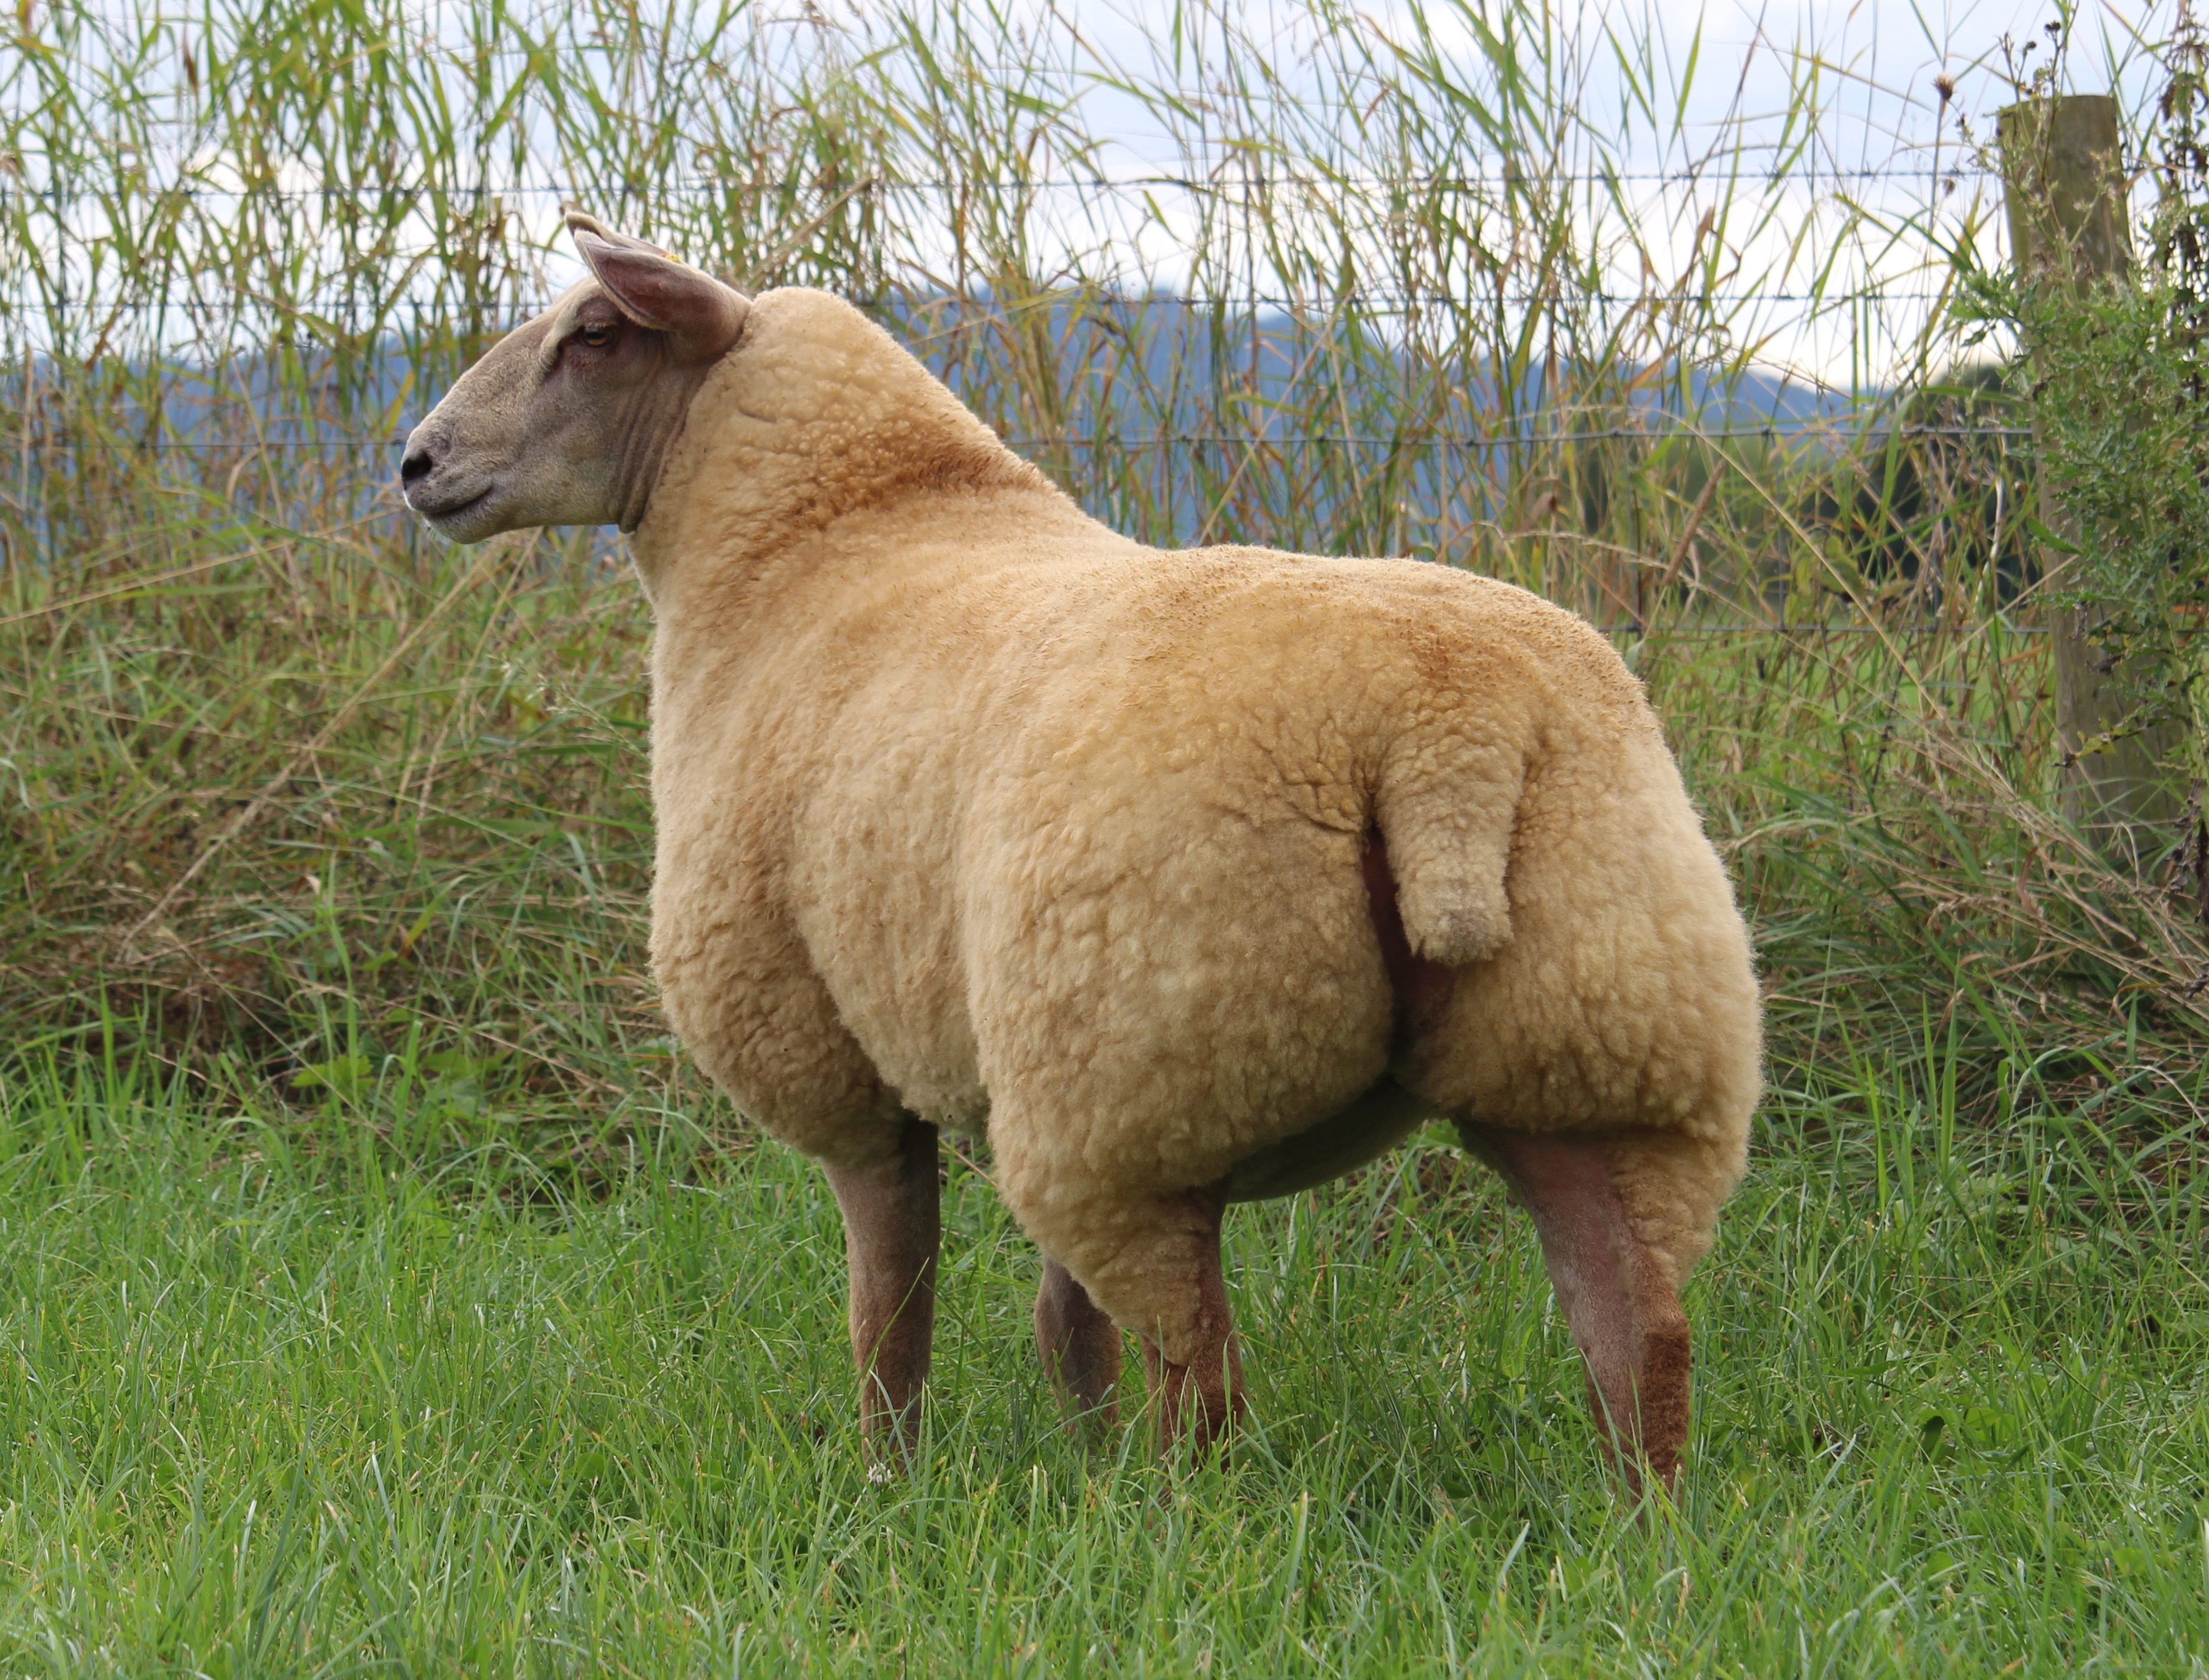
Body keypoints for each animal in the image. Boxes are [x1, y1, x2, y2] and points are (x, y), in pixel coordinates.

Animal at [399, 209, 1762, 1491]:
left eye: (594, 333)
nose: (416, 462)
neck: (826, 540)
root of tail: (1447, 722)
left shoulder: (841, 1059)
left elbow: (891, 1303)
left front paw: (891, 1476)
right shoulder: (1011, 1048)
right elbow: (1062, 1323)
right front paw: (1076, 1459)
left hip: (1138, 1068)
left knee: (1199, 1371)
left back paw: (1178, 1523)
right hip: (1600, 1041)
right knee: (1635, 1329)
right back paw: (1640, 1529)